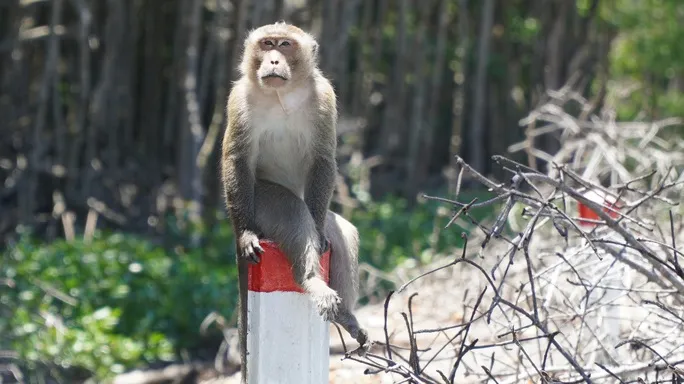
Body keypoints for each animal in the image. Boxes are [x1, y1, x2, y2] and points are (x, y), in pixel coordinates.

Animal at [219, 21, 368, 378]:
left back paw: (345, 312)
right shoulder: (238, 100)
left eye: (285, 45)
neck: (280, 95)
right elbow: (237, 160)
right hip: (259, 202)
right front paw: (247, 234)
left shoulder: (325, 97)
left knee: (337, 230)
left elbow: (323, 159)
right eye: (267, 44)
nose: (273, 60)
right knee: (293, 212)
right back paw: (310, 280)